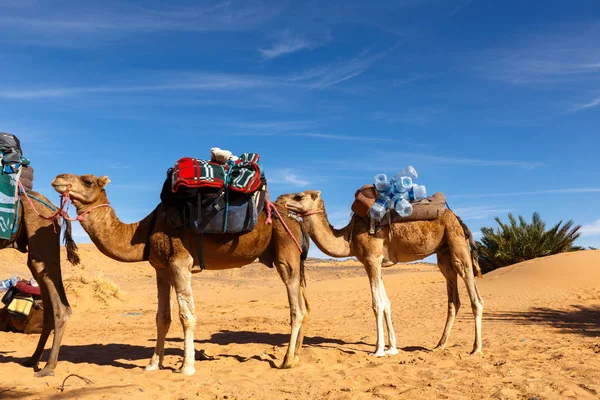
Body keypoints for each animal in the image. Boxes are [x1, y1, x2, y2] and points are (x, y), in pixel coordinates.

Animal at [51, 173, 310, 376]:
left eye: (87, 181)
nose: (58, 179)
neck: (144, 232)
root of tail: (296, 220)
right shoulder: (161, 268)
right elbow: (162, 317)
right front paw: (153, 364)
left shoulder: (180, 261)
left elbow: (187, 315)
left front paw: (187, 367)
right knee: (303, 306)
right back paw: (297, 356)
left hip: (286, 251)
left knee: (296, 308)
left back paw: (287, 360)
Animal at [284, 191, 486, 356]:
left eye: (299, 196)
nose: (281, 200)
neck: (348, 237)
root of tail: (459, 218)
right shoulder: (378, 263)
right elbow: (387, 303)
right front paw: (391, 347)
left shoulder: (372, 259)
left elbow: (377, 304)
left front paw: (378, 350)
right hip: (443, 254)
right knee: (453, 299)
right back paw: (439, 345)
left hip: (456, 243)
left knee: (475, 295)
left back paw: (476, 348)